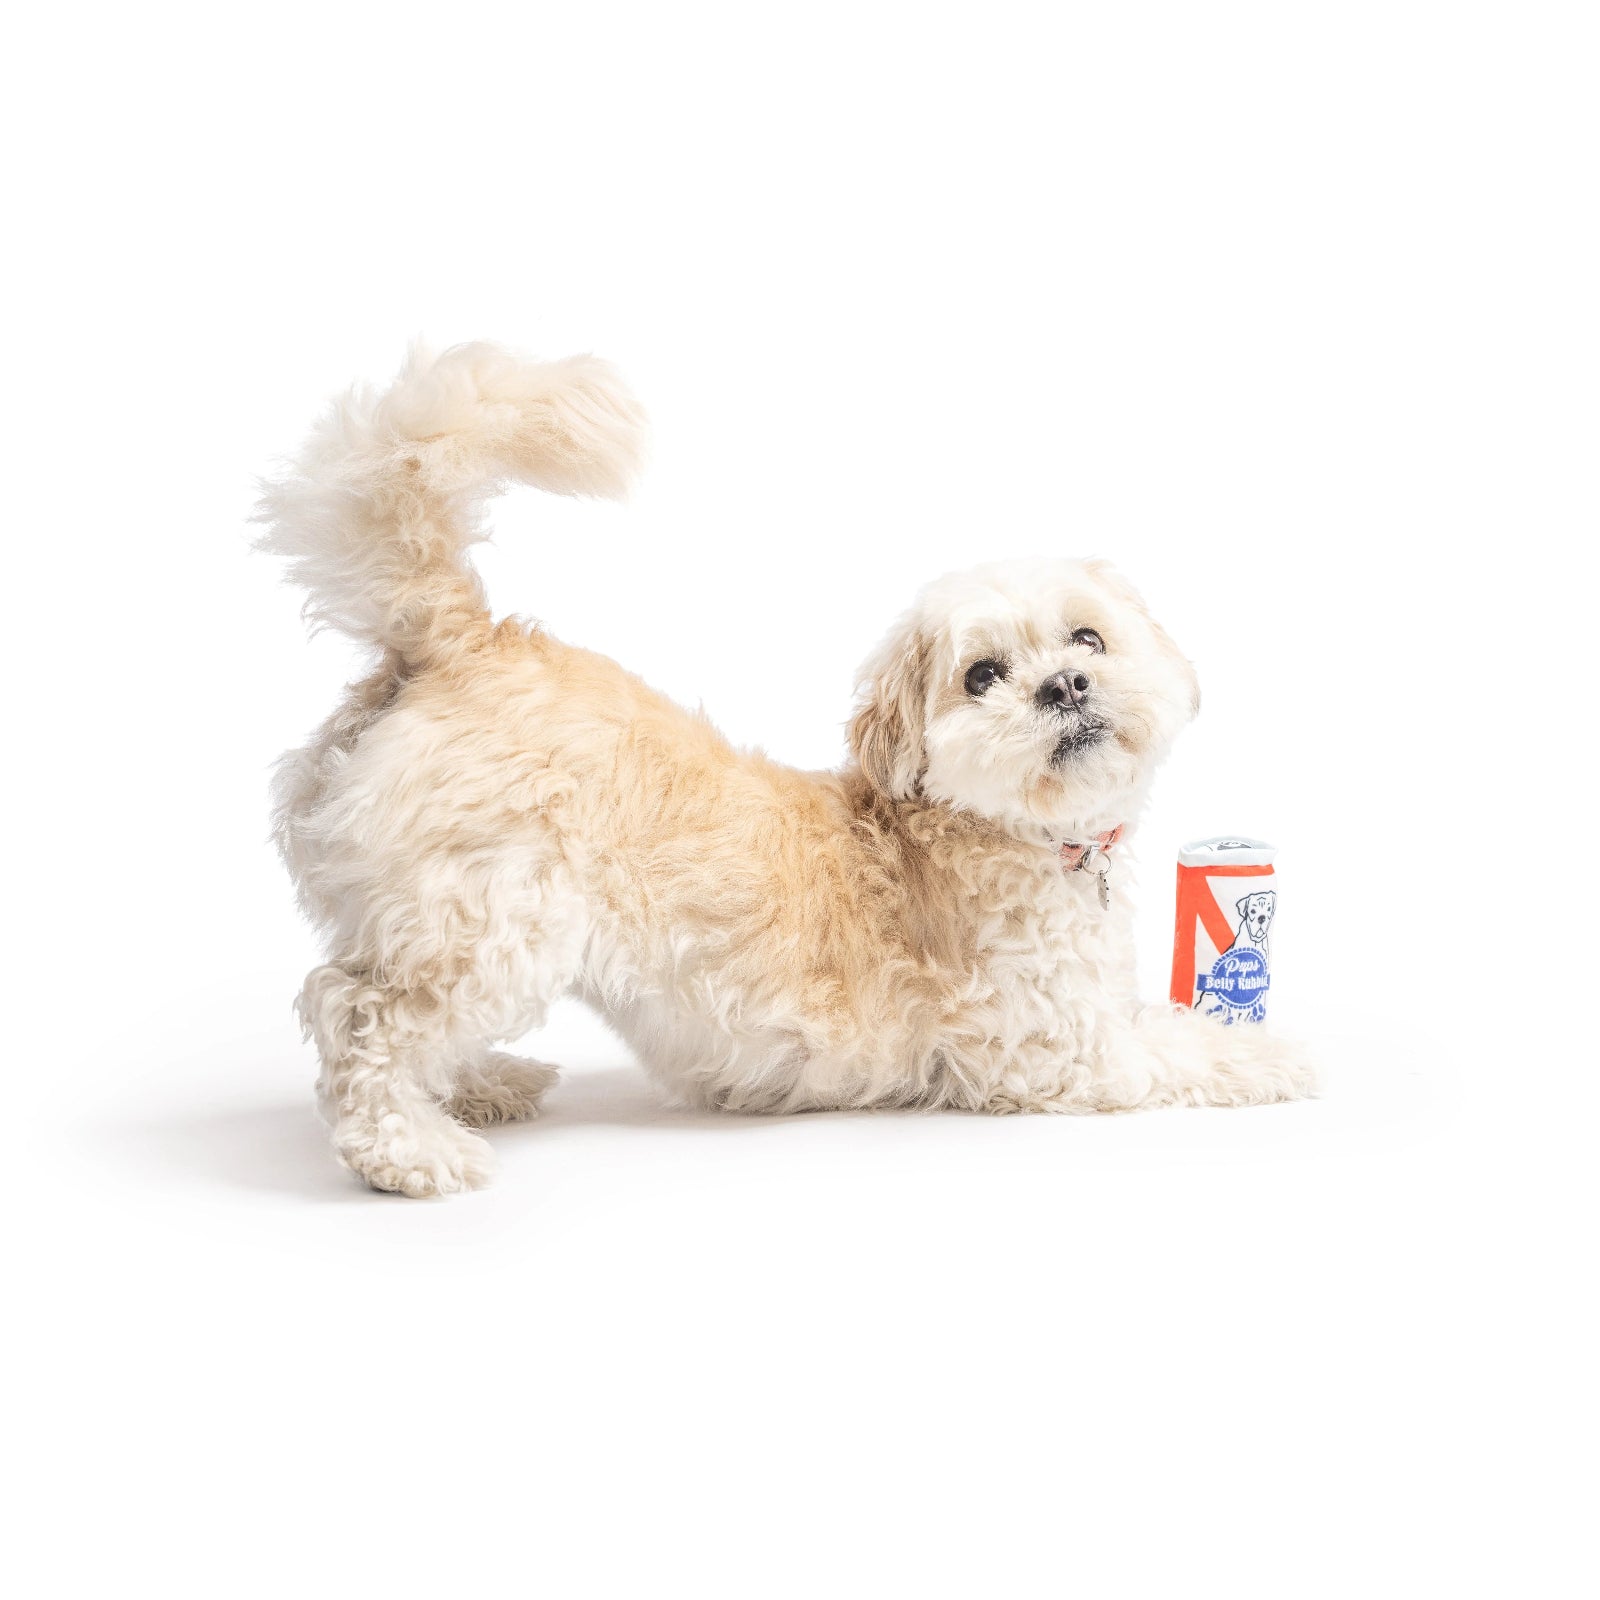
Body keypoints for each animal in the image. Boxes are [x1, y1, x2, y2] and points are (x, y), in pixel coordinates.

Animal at [259, 342, 1314, 1196]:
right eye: (982, 675)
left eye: (1087, 637)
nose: (1062, 685)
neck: (994, 832)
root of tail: (463, 640)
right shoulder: (1057, 1051)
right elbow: (1179, 1046)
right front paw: (1273, 1054)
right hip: (492, 917)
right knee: (356, 1012)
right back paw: (408, 1150)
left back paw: (477, 1087)